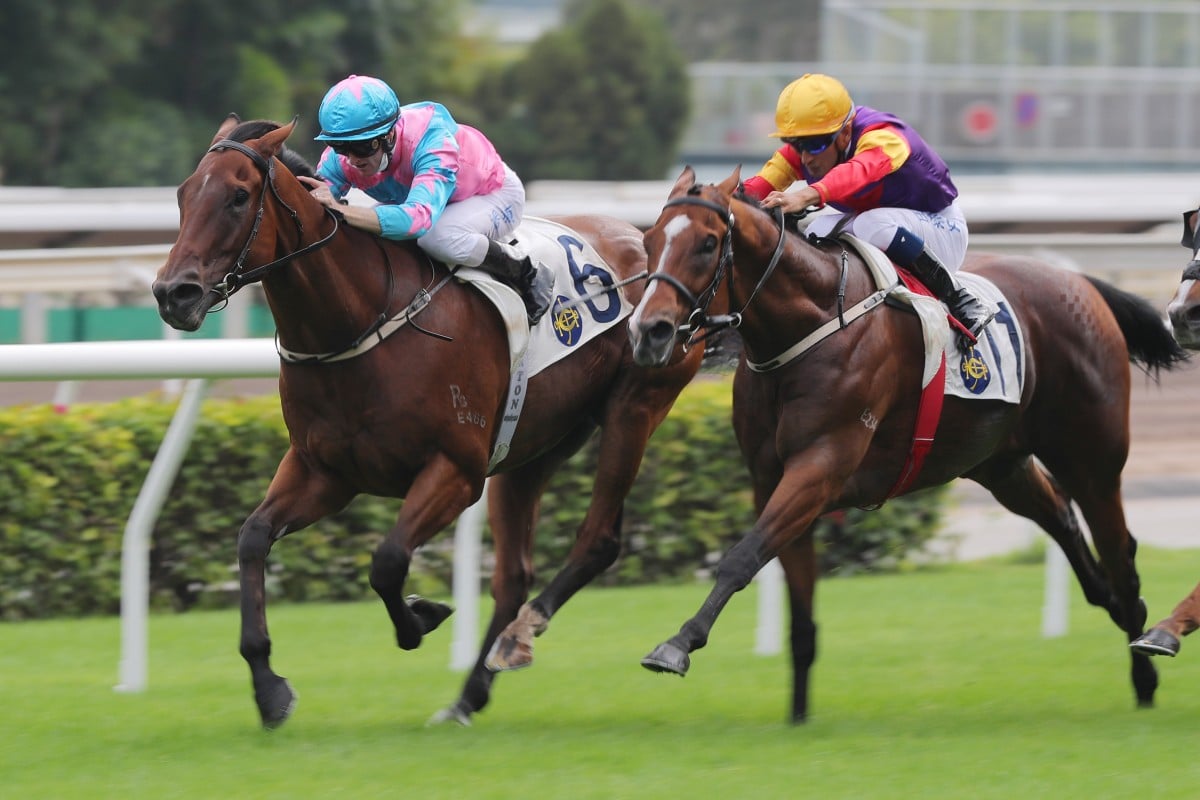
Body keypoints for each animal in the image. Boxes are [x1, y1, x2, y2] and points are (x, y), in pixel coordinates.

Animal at [154, 115, 705, 729]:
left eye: (237, 196)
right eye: (182, 194)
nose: (173, 293)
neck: (359, 321)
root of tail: (647, 241)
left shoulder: (456, 472)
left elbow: (388, 560)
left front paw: (420, 616)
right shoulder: (325, 472)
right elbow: (252, 538)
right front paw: (269, 688)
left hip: (636, 405)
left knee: (598, 540)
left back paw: (516, 641)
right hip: (536, 445)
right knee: (513, 573)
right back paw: (471, 693)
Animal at [628, 165, 1190, 724]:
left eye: (707, 243)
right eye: (650, 241)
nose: (648, 331)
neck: (811, 323)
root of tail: (1080, 283)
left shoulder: (820, 468)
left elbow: (741, 558)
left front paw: (676, 645)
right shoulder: (772, 481)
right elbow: (796, 603)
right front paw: (799, 714)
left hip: (1091, 459)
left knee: (1120, 552)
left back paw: (1144, 666)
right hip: (1002, 464)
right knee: (1066, 523)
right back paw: (1120, 615)